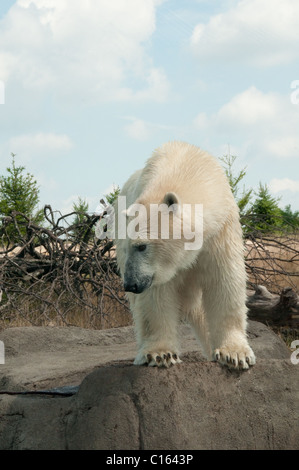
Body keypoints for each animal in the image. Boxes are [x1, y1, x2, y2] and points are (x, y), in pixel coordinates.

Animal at [114, 141, 255, 370]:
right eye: (128, 248)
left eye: (142, 246)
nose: (131, 284)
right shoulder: (157, 269)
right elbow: (156, 296)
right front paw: (160, 354)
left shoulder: (220, 232)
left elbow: (224, 281)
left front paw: (234, 354)